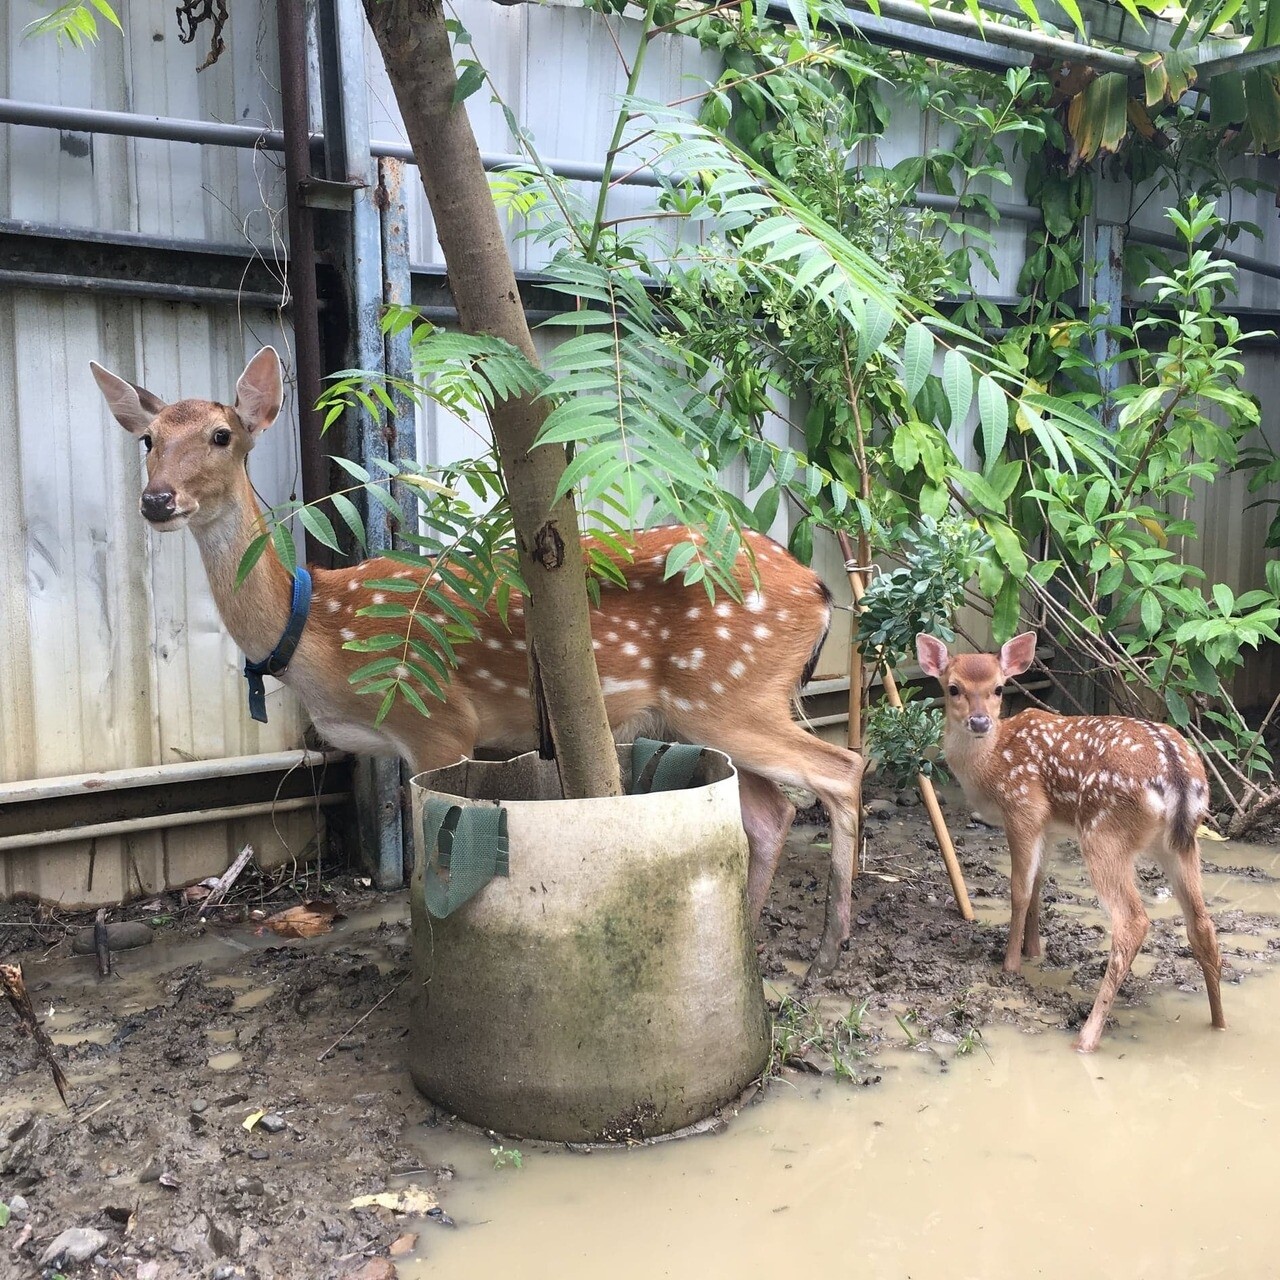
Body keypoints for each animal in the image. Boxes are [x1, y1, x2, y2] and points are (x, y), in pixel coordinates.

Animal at [92, 345, 860, 972]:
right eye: (148, 439)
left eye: (222, 435)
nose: (156, 499)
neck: (320, 635)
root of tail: (819, 589)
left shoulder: (439, 720)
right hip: (712, 706)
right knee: (770, 811)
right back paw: (753, 939)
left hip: (729, 690)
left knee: (842, 768)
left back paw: (829, 948)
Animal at [916, 629, 1223, 1049]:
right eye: (953, 688)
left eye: (998, 688)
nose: (979, 722)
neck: (991, 764)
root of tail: (1177, 774)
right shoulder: (1048, 825)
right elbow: (1038, 886)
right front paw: (1033, 952)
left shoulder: (1023, 808)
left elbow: (1019, 890)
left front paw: (1010, 964)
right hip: (1181, 841)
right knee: (1202, 923)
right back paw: (1218, 1023)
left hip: (1104, 833)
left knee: (1132, 922)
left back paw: (1087, 1036)